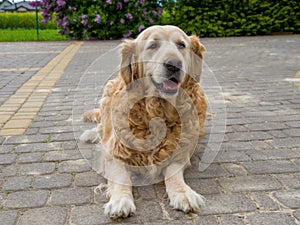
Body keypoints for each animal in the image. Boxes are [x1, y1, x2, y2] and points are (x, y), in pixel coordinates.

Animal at [81, 25, 207, 219]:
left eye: (181, 45)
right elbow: (121, 177)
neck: (157, 112)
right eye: (153, 45)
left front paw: (184, 193)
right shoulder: (113, 154)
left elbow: (173, 173)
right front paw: (120, 200)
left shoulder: (180, 154)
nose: (174, 64)